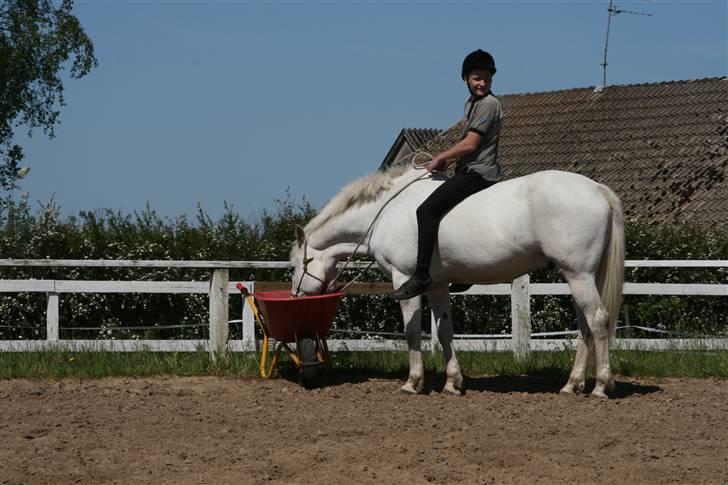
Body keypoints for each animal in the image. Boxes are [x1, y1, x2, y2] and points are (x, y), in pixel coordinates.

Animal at [290, 165, 624, 398]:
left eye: (295, 265)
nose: (296, 298)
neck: (387, 211)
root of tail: (596, 189)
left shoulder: (405, 279)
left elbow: (412, 332)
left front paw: (413, 382)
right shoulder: (437, 285)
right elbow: (445, 331)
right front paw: (452, 383)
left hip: (578, 274)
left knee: (597, 320)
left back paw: (600, 386)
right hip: (579, 276)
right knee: (585, 327)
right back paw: (572, 384)